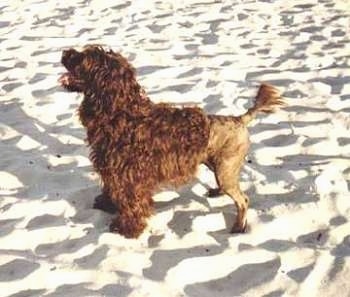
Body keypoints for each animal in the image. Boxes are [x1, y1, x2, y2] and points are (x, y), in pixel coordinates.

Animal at [60, 44, 284, 238]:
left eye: (84, 58)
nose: (64, 52)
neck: (120, 112)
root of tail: (239, 119)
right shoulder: (112, 169)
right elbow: (110, 189)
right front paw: (107, 204)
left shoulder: (129, 175)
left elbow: (131, 203)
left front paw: (127, 228)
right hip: (218, 165)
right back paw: (217, 192)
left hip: (226, 168)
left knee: (243, 199)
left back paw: (238, 226)